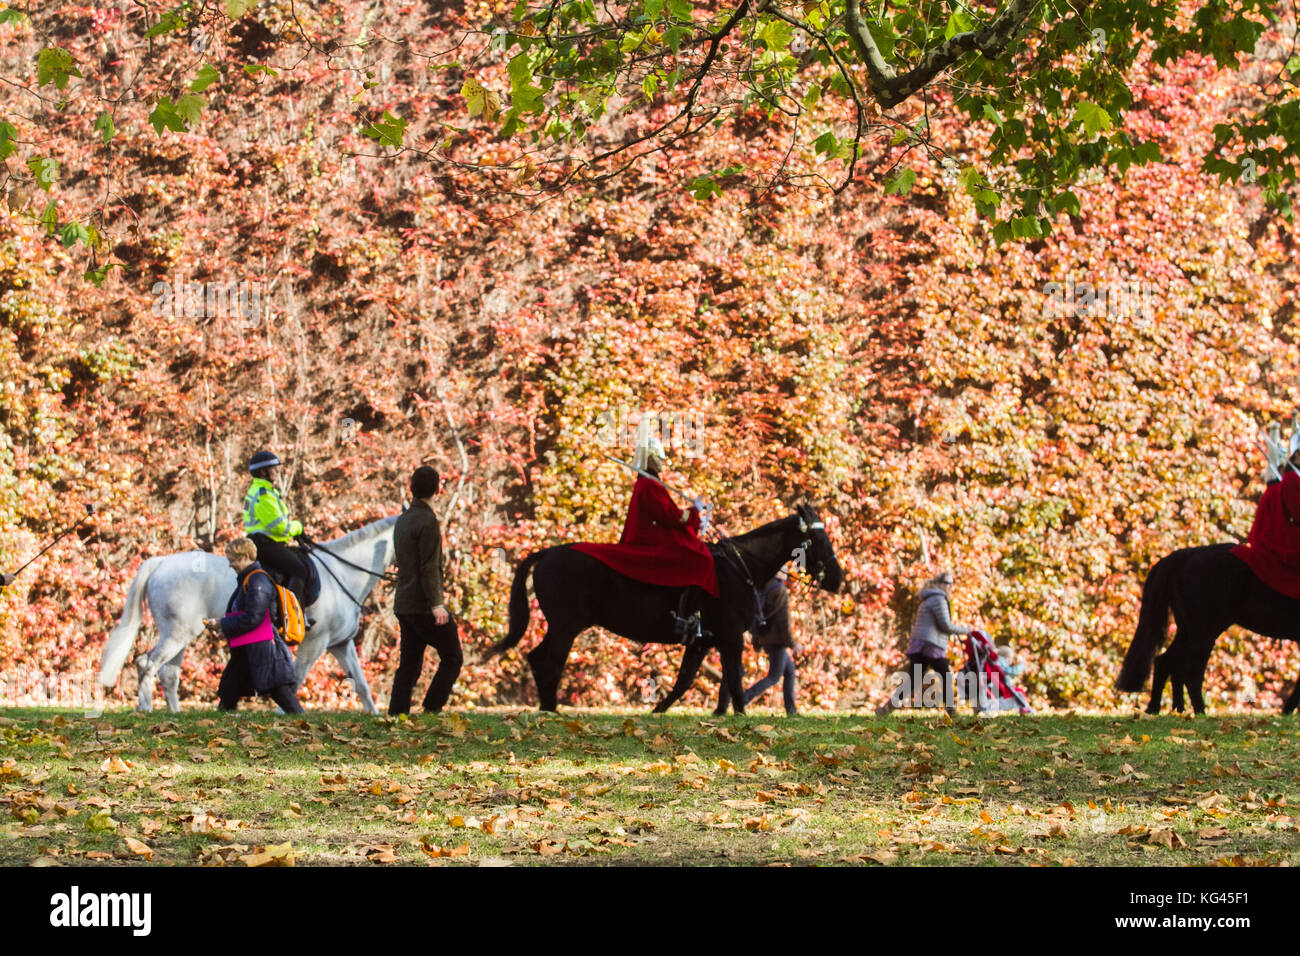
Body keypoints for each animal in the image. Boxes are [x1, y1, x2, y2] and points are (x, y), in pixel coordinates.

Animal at [96, 515, 395, 712]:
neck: (343, 574)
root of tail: (161, 563)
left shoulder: (341, 644)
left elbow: (361, 684)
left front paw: (374, 716)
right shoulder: (315, 642)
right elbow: (296, 678)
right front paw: (285, 713)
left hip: (179, 635)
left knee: (167, 673)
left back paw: (174, 714)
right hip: (177, 633)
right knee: (146, 664)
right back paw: (145, 708)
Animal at [488, 504, 842, 712]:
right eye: (820, 541)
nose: (838, 579)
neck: (739, 568)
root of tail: (547, 553)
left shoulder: (703, 641)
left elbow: (684, 681)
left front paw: (657, 711)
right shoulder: (730, 639)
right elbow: (735, 683)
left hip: (561, 627)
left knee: (538, 658)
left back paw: (547, 708)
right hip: (566, 628)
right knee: (550, 662)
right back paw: (550, 710)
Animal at [1112, 546, 1300, 717]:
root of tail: (1183, 554)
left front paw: (1288, 710)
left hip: (1189, 630)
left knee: (1167, 662)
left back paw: (1167, 709)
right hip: (1204, 632)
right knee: (1190, 673)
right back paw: (1199, 711)